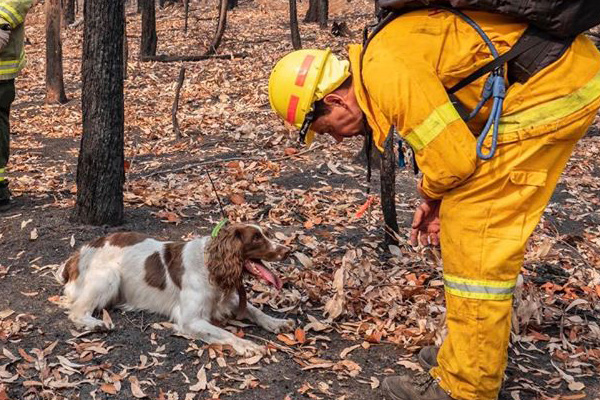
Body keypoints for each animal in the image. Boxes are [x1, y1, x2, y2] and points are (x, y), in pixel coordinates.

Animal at [57, 222, 296, 356]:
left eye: (267, 234)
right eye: (256, 238)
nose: (288, 250)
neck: (210, 265)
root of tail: (78, 254)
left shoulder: (229, 298)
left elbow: (255, 310)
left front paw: (277, 322)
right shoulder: (190, 320)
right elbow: (224, 333)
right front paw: (248, 345)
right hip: (109, 276)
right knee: (77, 311)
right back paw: (97, 324)